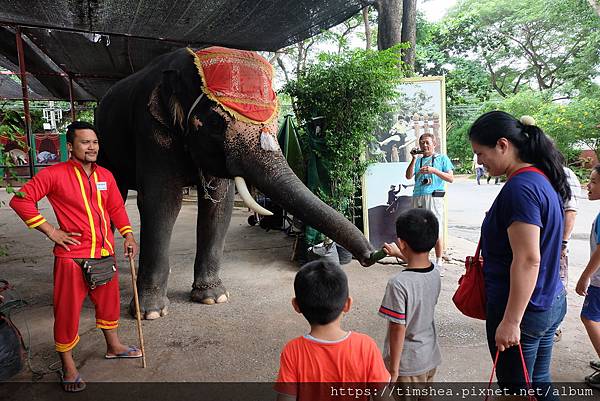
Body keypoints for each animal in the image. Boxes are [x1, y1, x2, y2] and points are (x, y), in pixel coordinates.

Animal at [96, 47, 378, 320]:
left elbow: (220, 205)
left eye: (276, 122)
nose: (371, 256)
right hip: (103, 145)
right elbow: (162, 201)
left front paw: (214, 298)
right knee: (117, 193)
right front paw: (150, 313)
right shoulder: (150, 130)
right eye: (216, 122)